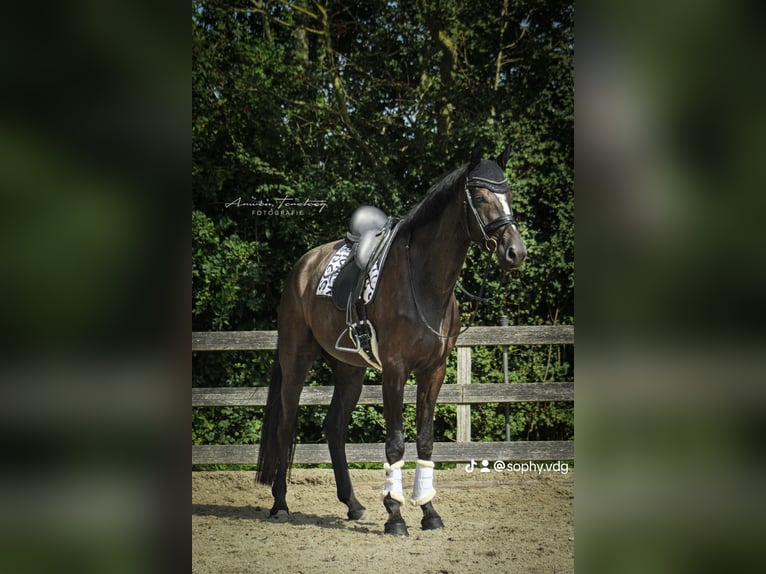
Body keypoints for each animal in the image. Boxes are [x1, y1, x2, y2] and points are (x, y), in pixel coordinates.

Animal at [258, 145, 528, 540]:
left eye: (509, 194)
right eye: (479, 197)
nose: (515, 252)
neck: (425, 281)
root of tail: (302, 267)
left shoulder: (434, 371)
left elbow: (425, 440)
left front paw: (429, 512)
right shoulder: (395, 371)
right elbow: (396, 441)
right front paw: (395, 516)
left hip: (349, 370)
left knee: (334, 427)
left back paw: (353, 504)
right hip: (296, 360)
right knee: (286, 425)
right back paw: (280, 504)